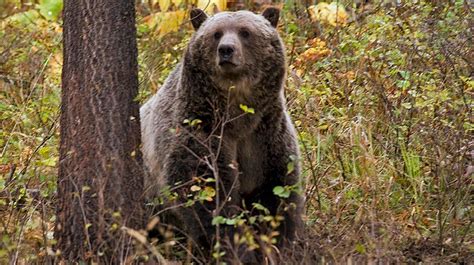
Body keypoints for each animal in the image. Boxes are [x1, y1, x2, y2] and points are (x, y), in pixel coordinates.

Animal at [141, 7, 304, 258]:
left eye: (245, 32)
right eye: (216, 33)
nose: (226, 50)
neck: (238, 116)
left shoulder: (266, 136)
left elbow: (276, 193)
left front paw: (276, 245)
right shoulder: (201, 130)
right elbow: (207, 194)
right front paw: (235, 249)